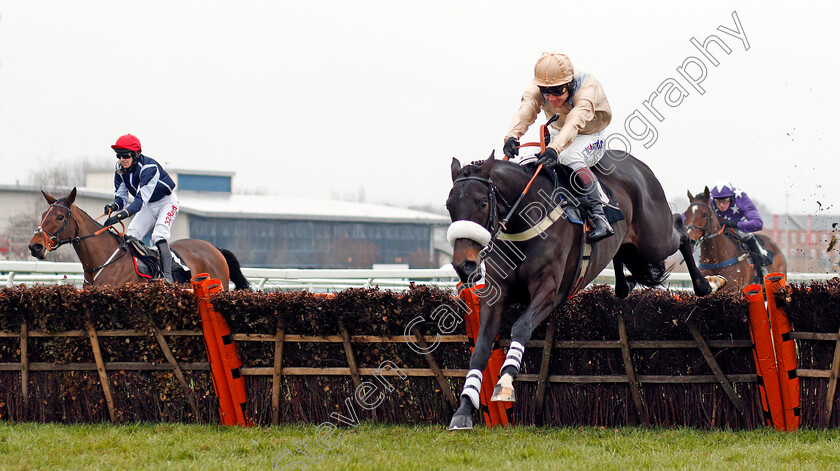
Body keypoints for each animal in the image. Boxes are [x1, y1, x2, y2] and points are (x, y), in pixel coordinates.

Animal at [442, 151, 724, 432]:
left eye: (482, 203)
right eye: (449, 205)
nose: (463, 265)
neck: (525, 222)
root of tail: (636, 163)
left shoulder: (548, 290)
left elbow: (521, 327)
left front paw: (505, 383)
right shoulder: (496, 294)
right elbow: (480, 348)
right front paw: (463, 410)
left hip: (655, 238)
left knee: (680, 231)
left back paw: (707, 284)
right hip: (632, 245)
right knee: (623, 271)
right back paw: (628, 283)